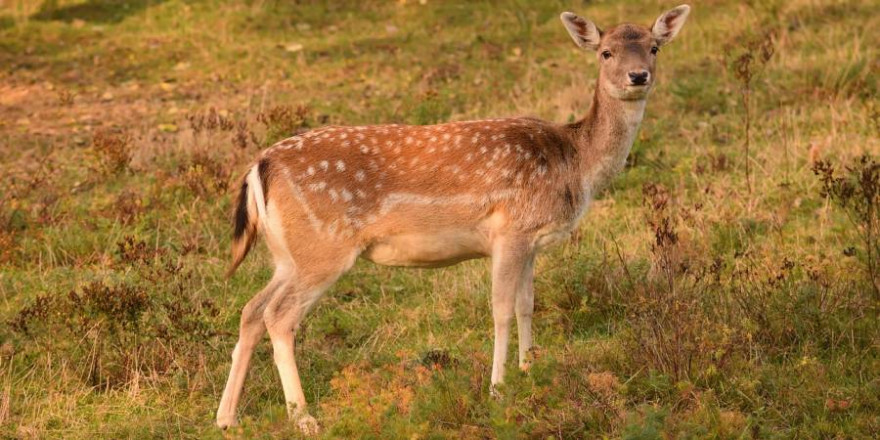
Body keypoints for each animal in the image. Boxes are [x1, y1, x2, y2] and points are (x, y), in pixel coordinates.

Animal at [218, 6, 688, 434]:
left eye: (654, 47)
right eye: (606, 52)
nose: (638, 76)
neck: (575, 162)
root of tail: (259, 166)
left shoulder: (531, 241)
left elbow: (527, 305)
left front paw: (529, 372)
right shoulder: (510, 230)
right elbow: (501, 309)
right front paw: (498, 390)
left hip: (289, 253)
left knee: (251, 309)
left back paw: (227, 417)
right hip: (323, 247)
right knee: (279, 316)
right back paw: (304, 417)